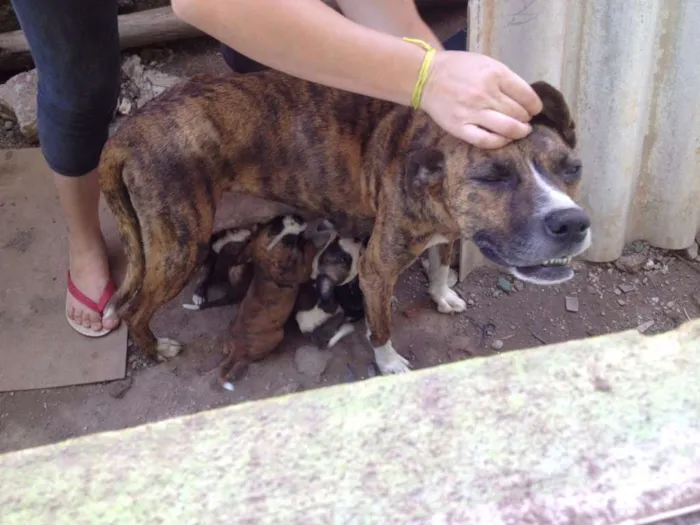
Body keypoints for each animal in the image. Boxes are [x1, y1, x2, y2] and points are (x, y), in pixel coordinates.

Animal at [98, 68, 592, 372]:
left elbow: (438, 264)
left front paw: (442, 295)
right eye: (492, 177)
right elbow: (382, 326)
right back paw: (156, 348)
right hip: (180, 245)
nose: (571, 223)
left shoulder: (443, 231)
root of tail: (128, 131)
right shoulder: (377, 270)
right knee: (134, 307)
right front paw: (388, 363)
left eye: (573, 169)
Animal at [217, 215, 316, 390]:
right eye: (288, 243)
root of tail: (239, 346)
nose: (298, 218)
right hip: (277, 335)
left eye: (275, 225)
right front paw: (310, 245)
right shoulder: (300, 272)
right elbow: (307, 263)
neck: (264, 265)